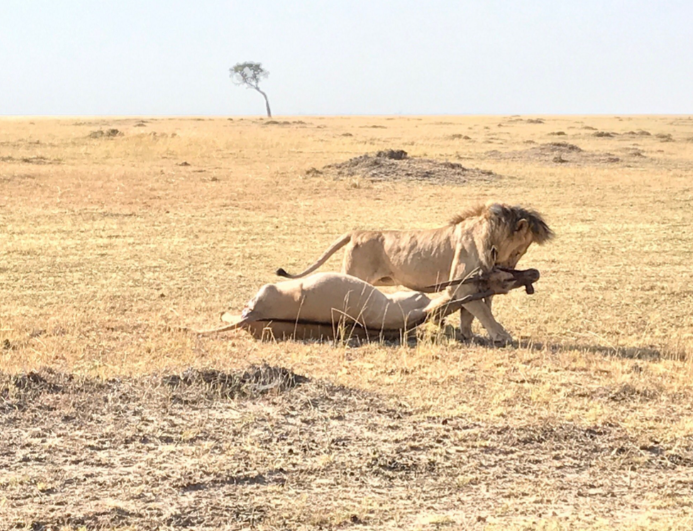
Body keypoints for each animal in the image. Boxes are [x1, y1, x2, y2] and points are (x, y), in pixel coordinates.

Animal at [276, 202, 552, 342]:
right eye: (519, 250)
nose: (510, 270)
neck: (488, 238)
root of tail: (357, 232)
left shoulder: (477, 285)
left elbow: (472, 313)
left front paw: (468, 334)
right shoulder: (461, 284)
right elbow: (484, 312)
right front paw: (501, 335)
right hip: (356, 275)